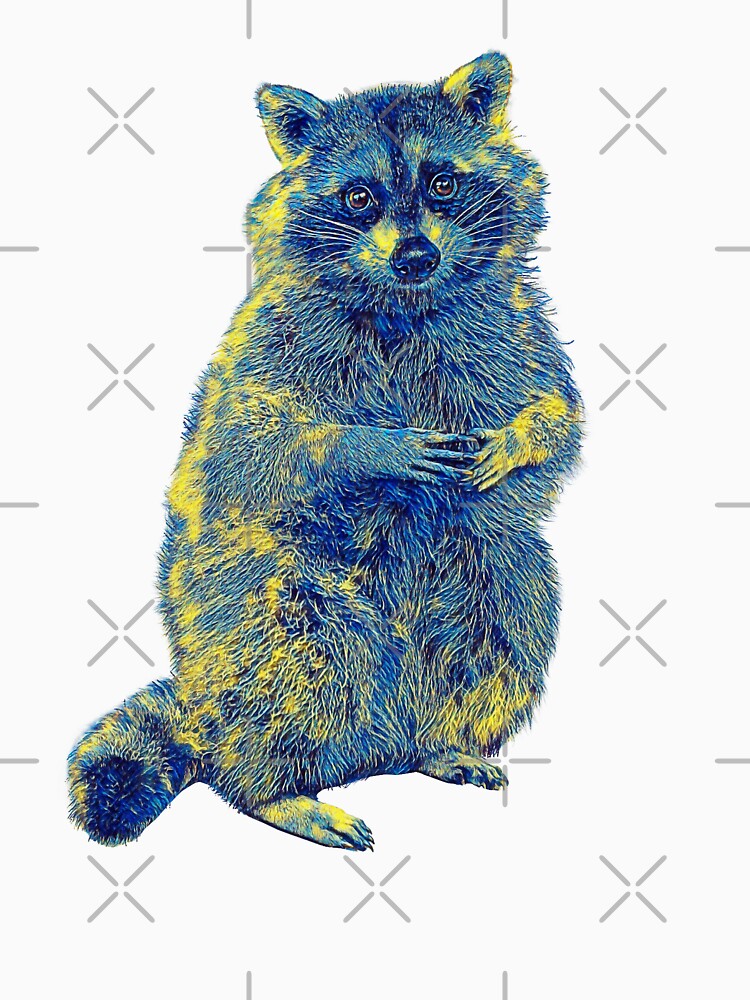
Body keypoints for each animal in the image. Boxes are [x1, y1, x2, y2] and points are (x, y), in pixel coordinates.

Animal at [68, 52, 583, 850]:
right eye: (359, 197)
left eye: (442, 181)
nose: (415, 255)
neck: (407, 304)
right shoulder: (265, 340)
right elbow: (253, 446)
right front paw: (372, 447)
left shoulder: (519, 326)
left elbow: (561, 409)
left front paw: (520, 437)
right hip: (265, 605)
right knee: (305, 657)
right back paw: (274, 789)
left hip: (483, 570)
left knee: (502, 618)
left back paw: (436, 742)